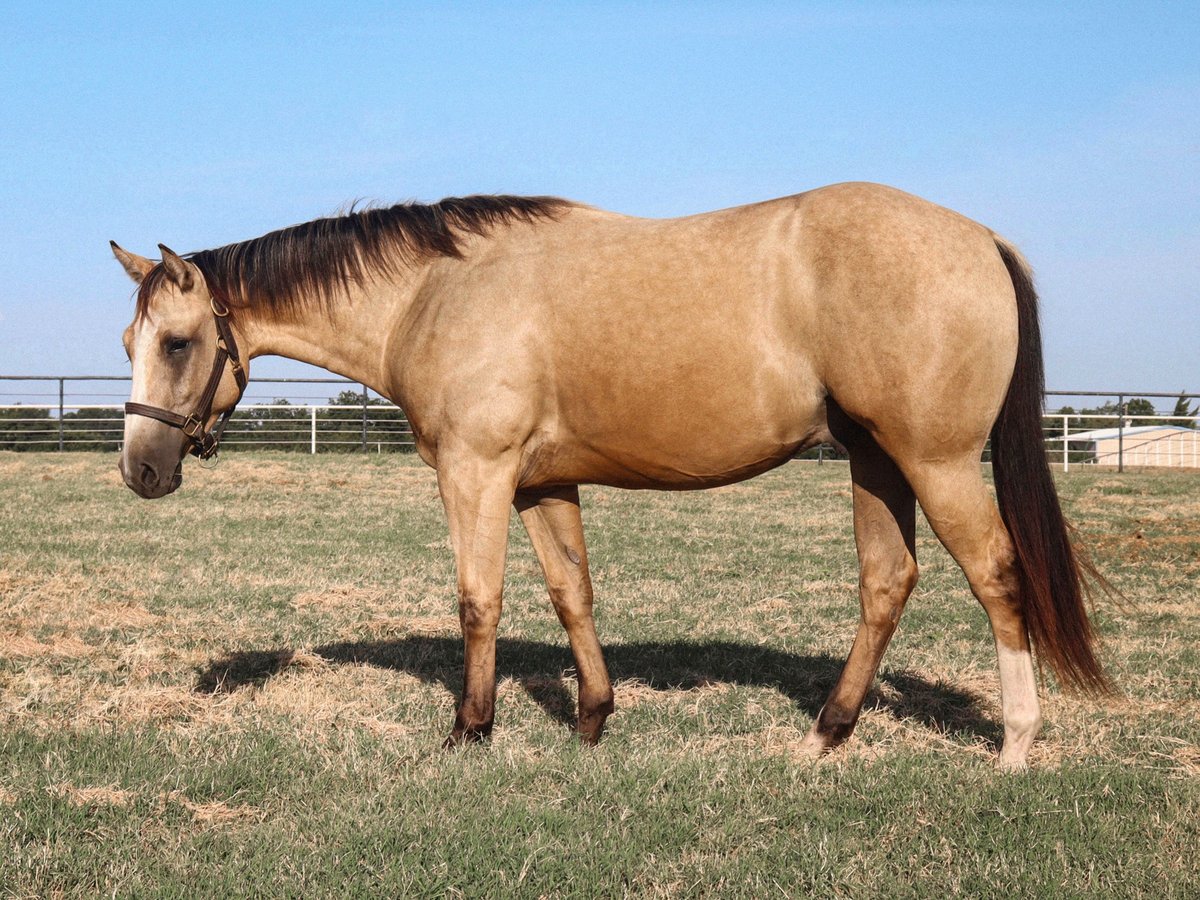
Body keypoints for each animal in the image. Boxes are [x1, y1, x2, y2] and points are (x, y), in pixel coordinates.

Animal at [112, 181, 1104, 768]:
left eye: (178, 342)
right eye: (129, 342)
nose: (141, 470)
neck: (435, 293)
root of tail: (981, 237)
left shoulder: (476, 474)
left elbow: (479, 599)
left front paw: (470, 730)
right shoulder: (542, 483)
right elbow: (570, 592)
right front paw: (592, 717)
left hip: (936, 463)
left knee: (997, 576)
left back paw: (1016, 745)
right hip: (876, 462)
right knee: (887, 584)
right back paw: (825, 734)